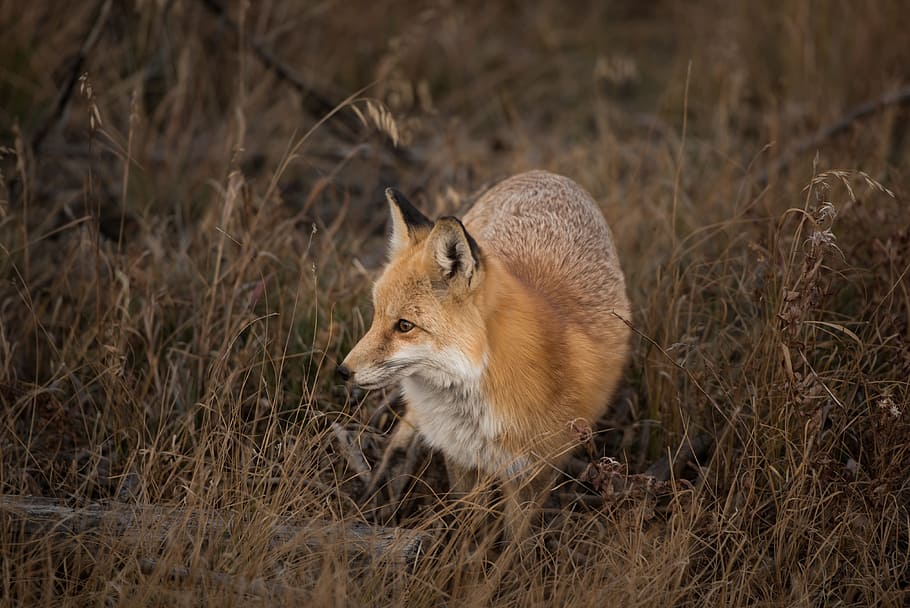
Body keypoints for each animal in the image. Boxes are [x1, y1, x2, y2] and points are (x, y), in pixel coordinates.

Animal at [337, 170, 630, 536]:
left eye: (404, 326)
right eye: (376, 315)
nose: (343, 371)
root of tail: (546, 174)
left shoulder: (536, 469)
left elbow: (515, 541)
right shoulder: (460, 455)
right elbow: (468, 522)